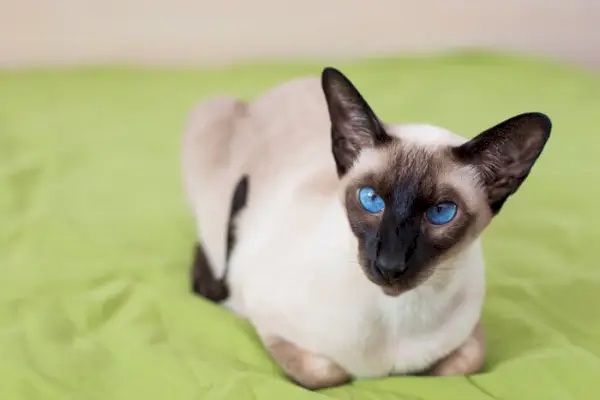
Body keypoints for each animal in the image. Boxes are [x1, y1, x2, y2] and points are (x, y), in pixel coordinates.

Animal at [180, 67, 552, 390]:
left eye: (441, 212)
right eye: (371, 199)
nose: (390, 265)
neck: (396, 317)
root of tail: (275, 90)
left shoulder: (469, 337)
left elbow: (461, 364)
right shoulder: (264, 317)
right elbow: (326, 374)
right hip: (207, 122)